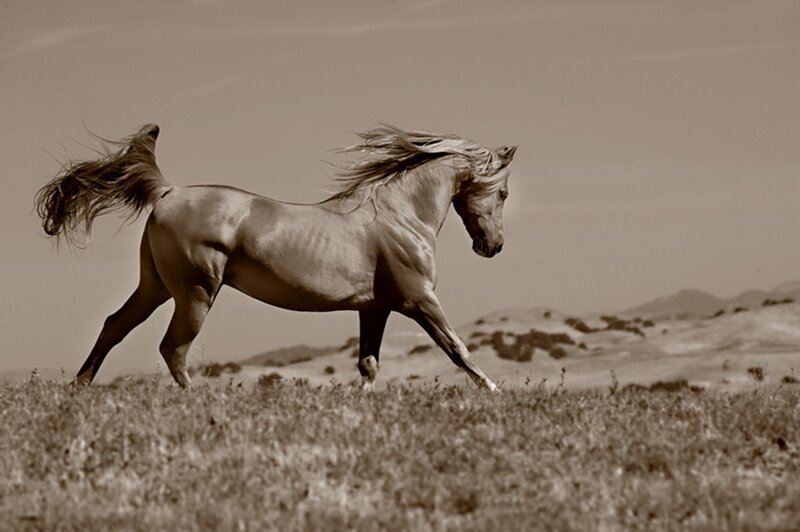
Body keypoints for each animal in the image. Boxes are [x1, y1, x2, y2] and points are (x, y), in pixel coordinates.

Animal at [35, 123, 517, 391]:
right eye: (504, 193)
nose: (492, 247)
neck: (400, 214)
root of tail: (168, 191)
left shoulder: (374, 308)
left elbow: (369, 365)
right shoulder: (419, 300)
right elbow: (457, 348)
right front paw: (494, 391)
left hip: (154, 287)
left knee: (114, 325)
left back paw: (79, 386)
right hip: (195, 292)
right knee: (173, 347)